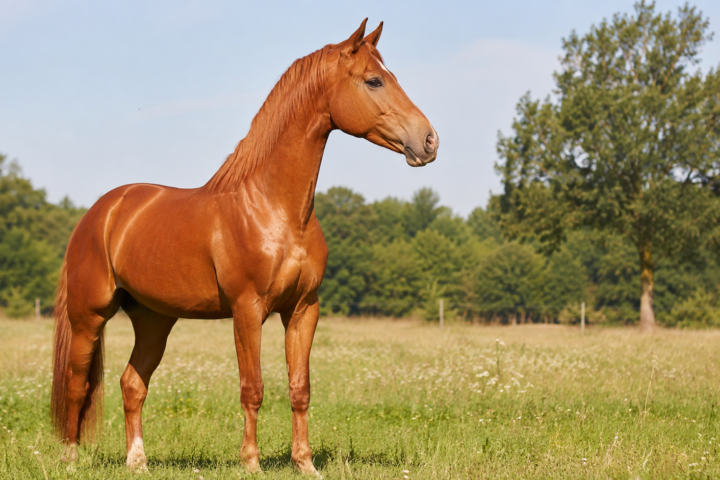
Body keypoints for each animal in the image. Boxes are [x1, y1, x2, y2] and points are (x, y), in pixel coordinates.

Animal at [50, 18, 438, 475]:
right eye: (374, 80)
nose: (429, 141)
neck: (276, 209)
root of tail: (101, 212)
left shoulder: (303, 309)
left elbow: (300, 387)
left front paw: (305, 463)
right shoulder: (248, 309)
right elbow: (252, 387)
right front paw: (251, 463)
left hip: (153, 320)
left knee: (132, 384)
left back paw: (138, 462)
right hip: (89, 316)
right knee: (77, 385)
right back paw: (70, 459)